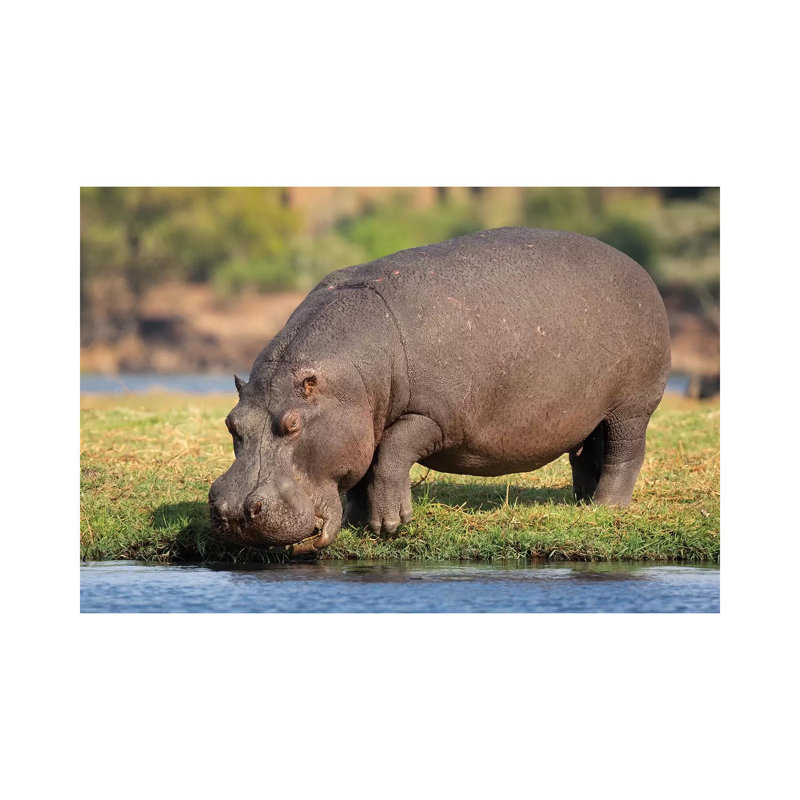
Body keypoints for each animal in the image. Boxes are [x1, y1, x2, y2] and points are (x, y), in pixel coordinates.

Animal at [209, 227, 670, 555]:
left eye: (293, 425)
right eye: (232, 423)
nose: (234, 511)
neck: (352, 377)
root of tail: (641, 271)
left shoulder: (435, 417)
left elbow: (391, 452)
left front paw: (390, 525)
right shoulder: (362, 424)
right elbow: (363, 468)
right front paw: (359, 522)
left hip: (632, 407)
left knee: (625, 453)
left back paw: (607, 507)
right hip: (590, 414)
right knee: (587, 454)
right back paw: (580, 504)